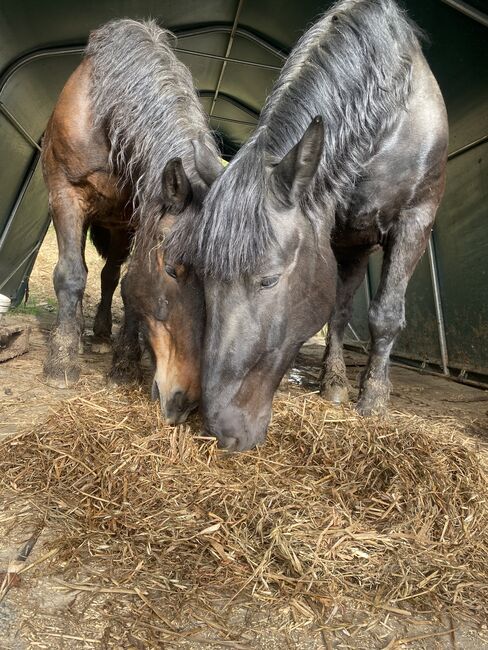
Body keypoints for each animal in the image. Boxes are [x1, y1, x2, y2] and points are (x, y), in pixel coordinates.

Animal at [42, 19, 221, 420]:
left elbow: (125, 284)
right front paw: (62, 363)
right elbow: (71, 275)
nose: (186, 402)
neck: (107, 119)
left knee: (108, 276)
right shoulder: (65, 193)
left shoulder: (139, 216)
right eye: (171, 271)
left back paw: (101, 333)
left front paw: (124, 365)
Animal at [166, 0, 448, 448]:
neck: (385, 117)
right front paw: (337, 385)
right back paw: (333, 382)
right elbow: (336, 309)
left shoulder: (415, 219)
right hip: (352, 243)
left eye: (269, 280)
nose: (221, 430)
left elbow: (385, 313)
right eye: (204, 277)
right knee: (342, 307)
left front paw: (373, 402)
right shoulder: (333, 233)